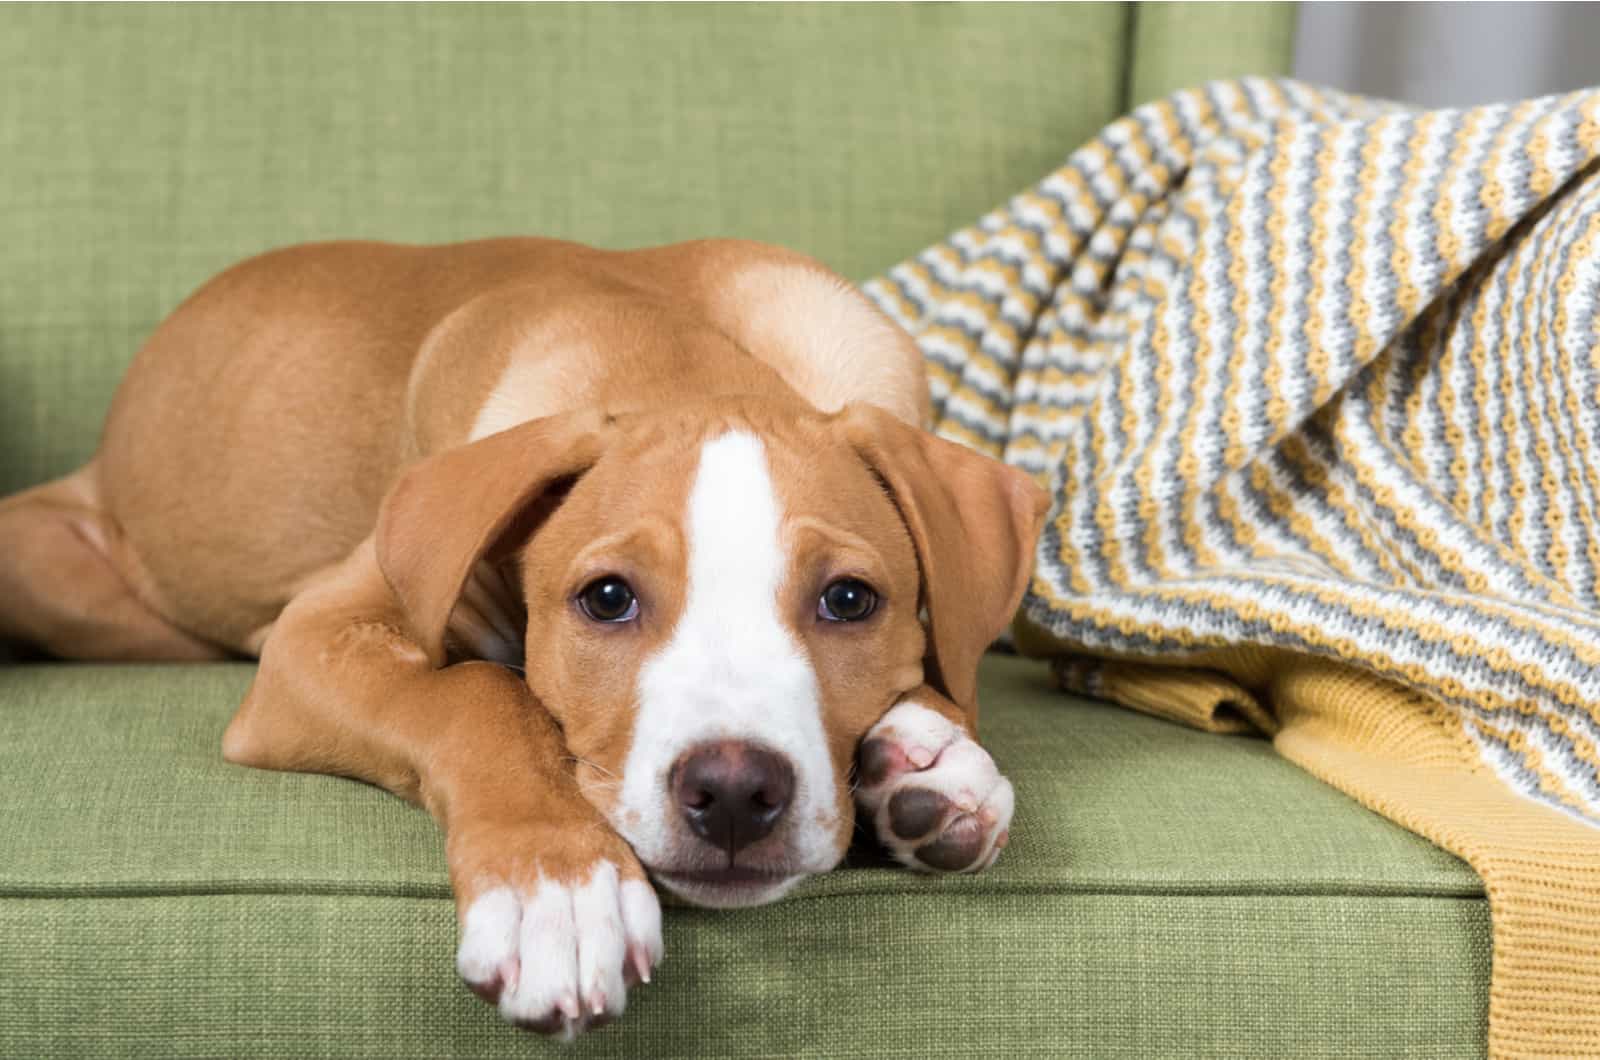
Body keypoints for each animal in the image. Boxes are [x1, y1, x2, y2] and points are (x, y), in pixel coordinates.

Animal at [0, 238, 1049, 1037]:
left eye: (849, 600)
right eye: (608, 598)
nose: (735, 793)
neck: (668, 353)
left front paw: (928, 760)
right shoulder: (314, 637)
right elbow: (479, 693)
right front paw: (561, 891)